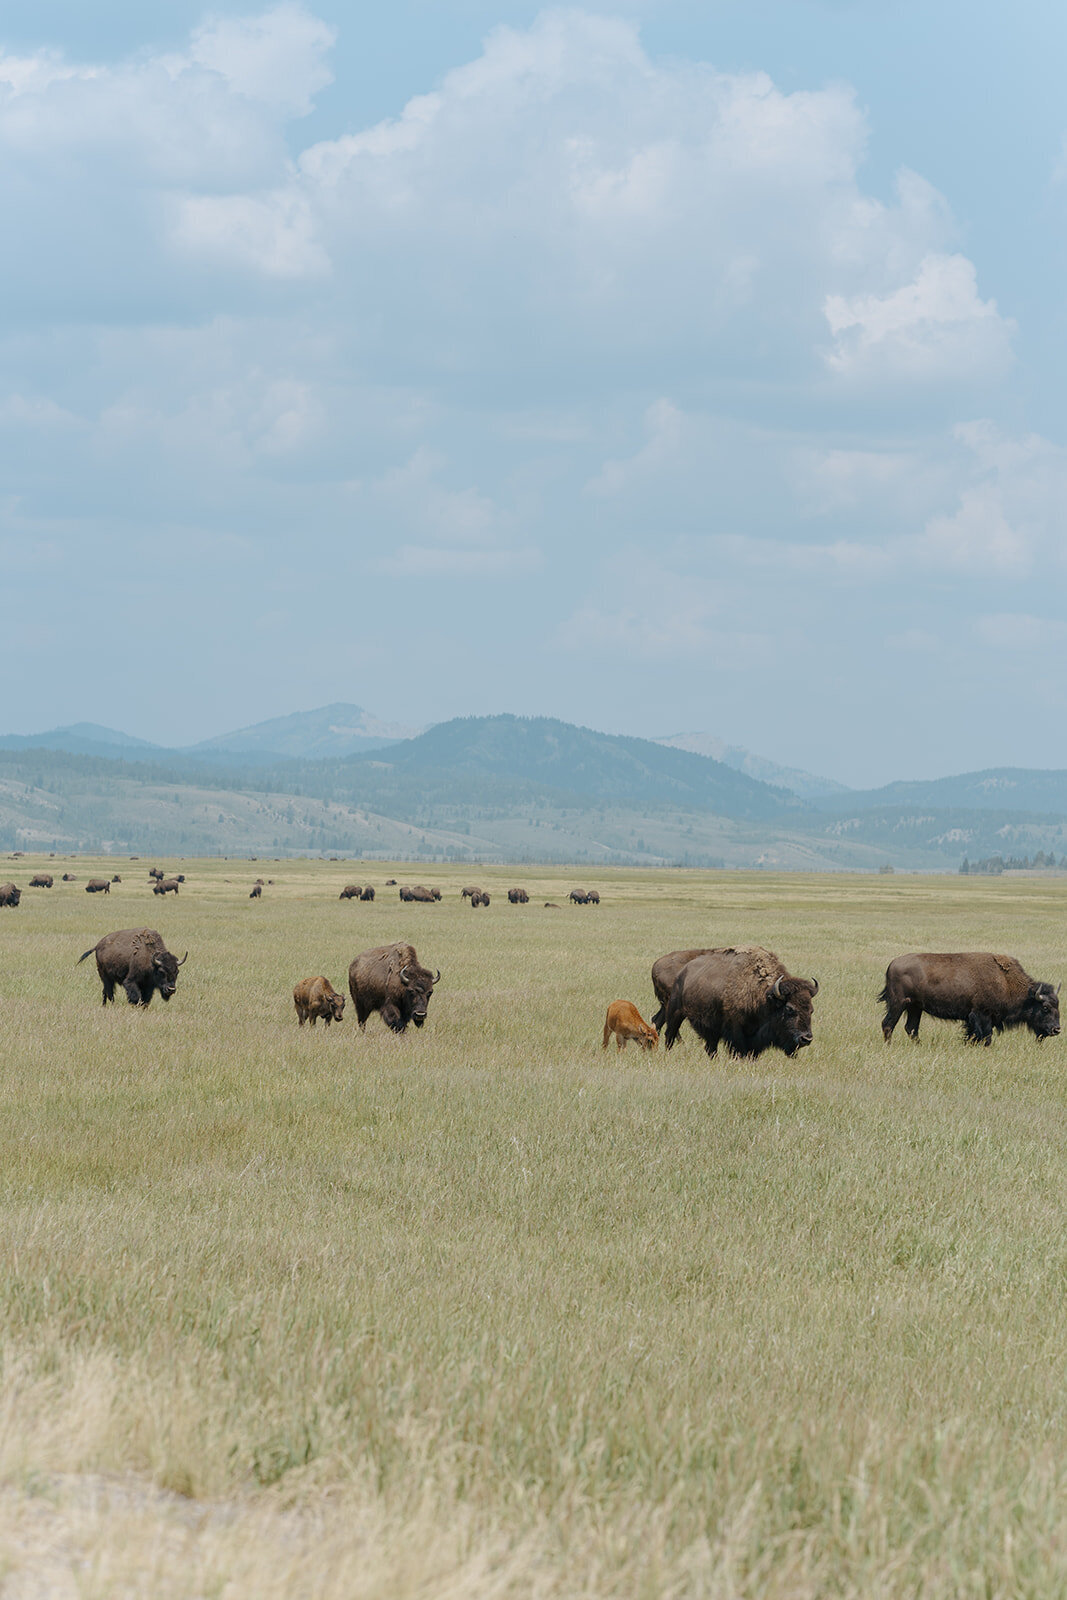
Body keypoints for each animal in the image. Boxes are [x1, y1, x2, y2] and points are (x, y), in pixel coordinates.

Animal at [662, 947, 825, 1062]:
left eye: (811, 1010)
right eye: (789, 1009)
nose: (806, 1039)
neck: (764, 999)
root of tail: (683, 972)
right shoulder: (736, 1031)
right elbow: (738, 1050)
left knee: (710, 1046)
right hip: (675, 1012)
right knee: (670, 1035)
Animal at [876, 947, 1062, 1049]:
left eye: (1058, 1006)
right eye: (1045, 1007)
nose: (1056, 1030)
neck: (1006, 981)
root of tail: (892, 964)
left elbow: (973, 1036)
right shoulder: (982, 1015)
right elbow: (986, 1037)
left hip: (915, 1007)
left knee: (911, 1028)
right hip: (899, 1003)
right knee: (888, 1024)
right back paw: (889, 1046)